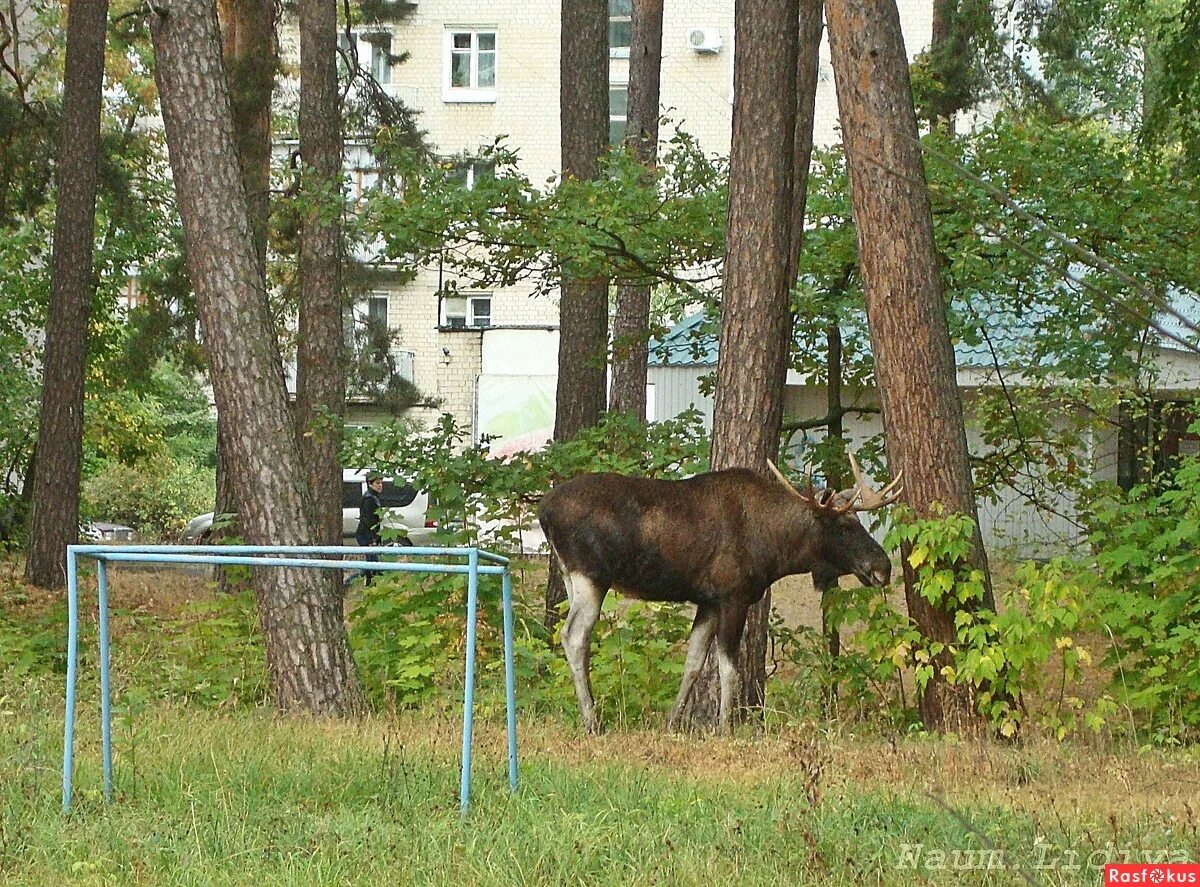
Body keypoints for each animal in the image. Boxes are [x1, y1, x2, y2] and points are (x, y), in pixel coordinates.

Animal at [542, 453, 902, 729]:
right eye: (845, 526)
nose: (883, 567)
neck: (776, 551)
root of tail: (544, 511)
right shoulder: (734, 597)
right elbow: (730, 670)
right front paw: (724, 727)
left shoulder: (709, 601)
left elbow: (693, 662)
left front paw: (672, 723)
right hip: (591, 576)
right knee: (574, 636)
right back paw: (592, 720)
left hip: (571, 577)